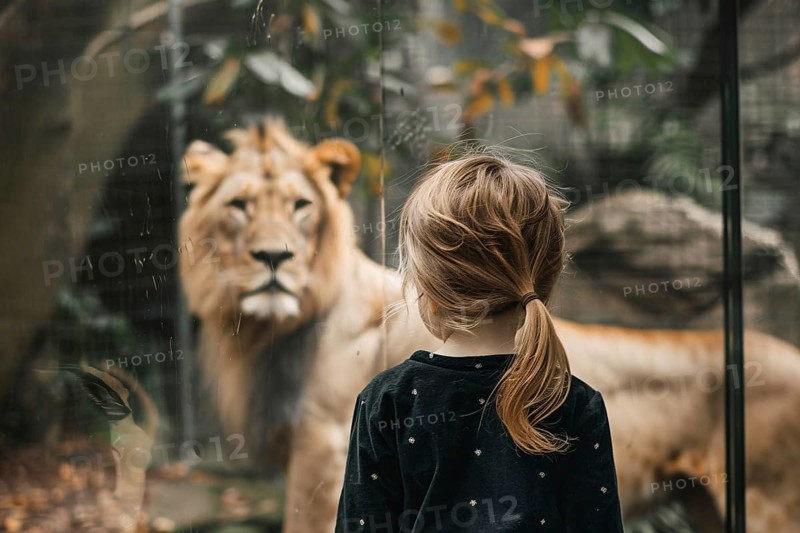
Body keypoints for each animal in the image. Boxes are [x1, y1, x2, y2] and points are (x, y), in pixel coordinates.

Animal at [178, 118, 800, 533]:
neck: (271, 334)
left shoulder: (325, 449)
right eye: (238, 205)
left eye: (301, 205)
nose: (274, 257)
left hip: (769, 500)